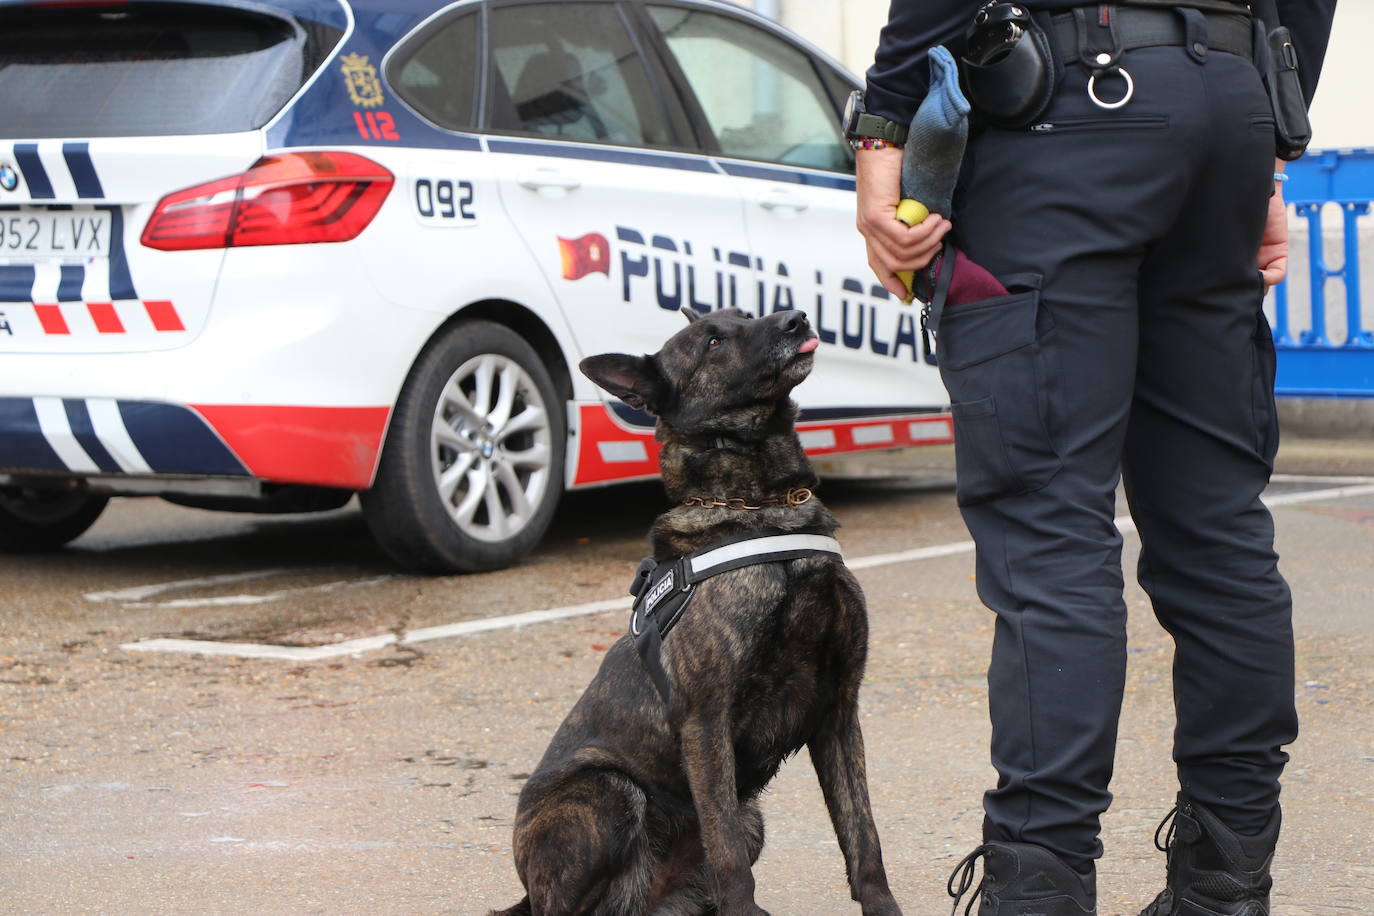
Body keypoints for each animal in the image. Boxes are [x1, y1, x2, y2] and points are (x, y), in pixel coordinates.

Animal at [491, 307, 901, 916]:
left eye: (746, 317)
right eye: (711, 342)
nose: (796, 316)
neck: (762, 507)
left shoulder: (838, 712)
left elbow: (862, 837)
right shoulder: (707, 722)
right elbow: (727, 854)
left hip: (751, 818)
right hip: (609, 789)